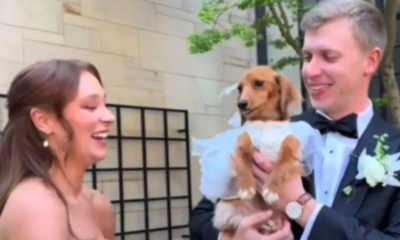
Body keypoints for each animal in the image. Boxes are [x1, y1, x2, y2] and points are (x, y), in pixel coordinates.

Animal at [214, 65, 304, 238]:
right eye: (240, 88)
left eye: (259, 83)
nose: (241, 104)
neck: (264, 121)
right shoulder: (241, 142)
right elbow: (242, 162)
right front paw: (246, 187)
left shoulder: (292, 147)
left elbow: (282, 163)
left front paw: (270, 189)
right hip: (226, 209)